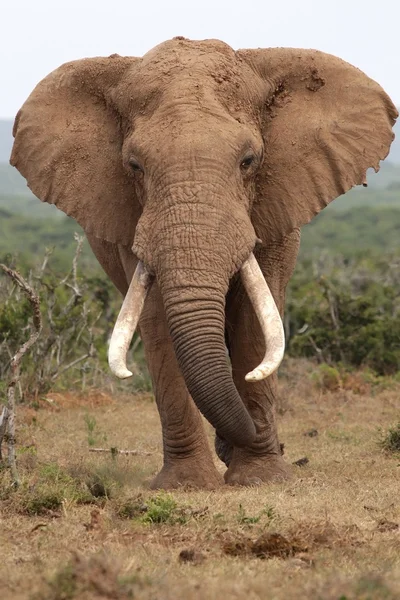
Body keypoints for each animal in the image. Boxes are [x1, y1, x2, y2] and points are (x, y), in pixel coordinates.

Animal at [10, 36, 396, 488]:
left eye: (249, 161)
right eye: (134, 166)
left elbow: (254, 323)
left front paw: (261, 477)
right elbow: (158, 323)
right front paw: (187, 485)